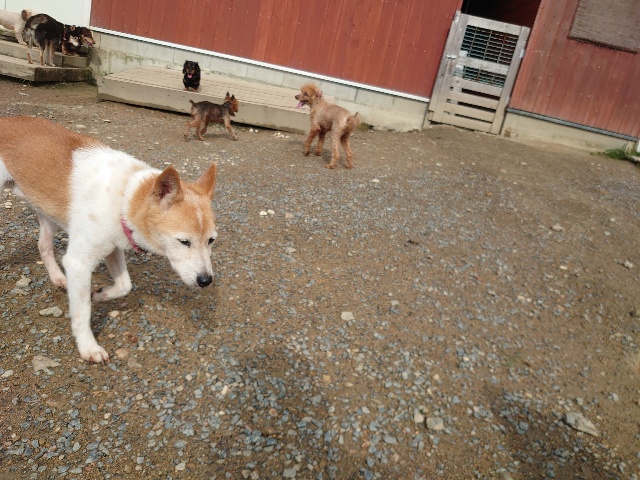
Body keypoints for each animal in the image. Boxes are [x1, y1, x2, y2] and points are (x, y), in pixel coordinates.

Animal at [0, 117, 219, 363]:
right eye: (183, 241)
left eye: (211, 240)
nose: (205, 280)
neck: (125, 196)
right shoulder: (78, 263)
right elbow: (82, 311)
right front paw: (88, 347)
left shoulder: (113, 247)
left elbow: (125, 285)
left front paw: (100, 294)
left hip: (48, 214)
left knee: (44, 246)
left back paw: (58, 278)